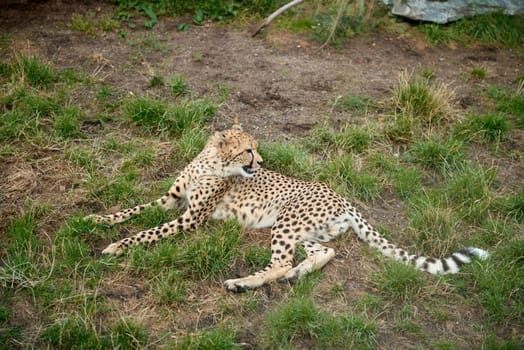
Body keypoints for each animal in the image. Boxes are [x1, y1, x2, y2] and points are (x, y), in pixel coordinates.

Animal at [87, 124, 492, 292]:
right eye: (247, 150)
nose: (262, 162)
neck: (212, 163)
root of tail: (339, 194)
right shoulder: (171, 199)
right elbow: (134, 210)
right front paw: (97, 219)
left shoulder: (189, 219)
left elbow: (147, 231)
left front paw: (116, 245)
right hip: (301, 229)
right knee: (323, 252)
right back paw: (297, 275)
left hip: (285, 221)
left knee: (279, 263)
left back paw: (242, 283)